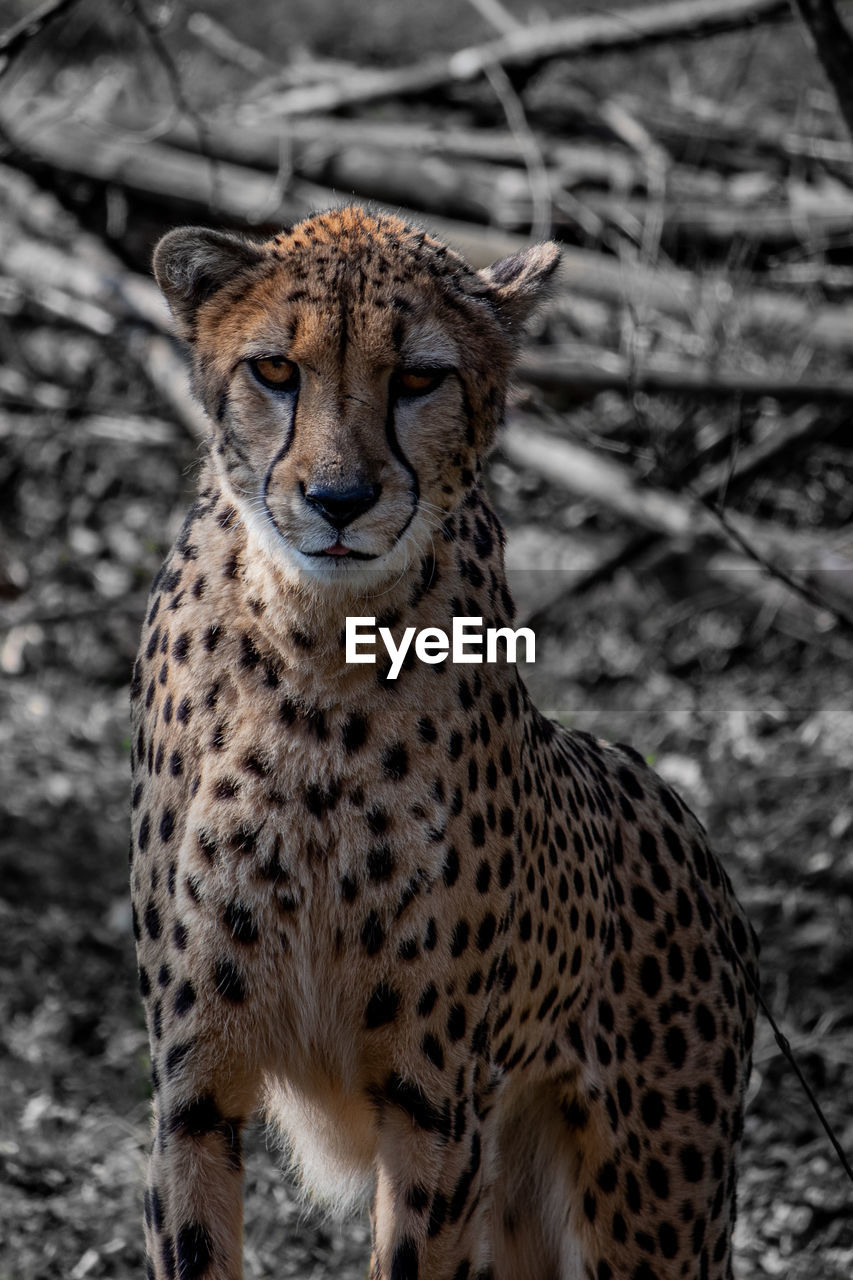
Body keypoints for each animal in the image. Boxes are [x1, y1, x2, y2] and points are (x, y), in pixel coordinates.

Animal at [133, 207, 758, 1280]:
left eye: (419, 379)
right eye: (274, 370)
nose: (339, 498)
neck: (319, 650)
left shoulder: (432, 1102)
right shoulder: (194, 1085)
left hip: (651, 1216)